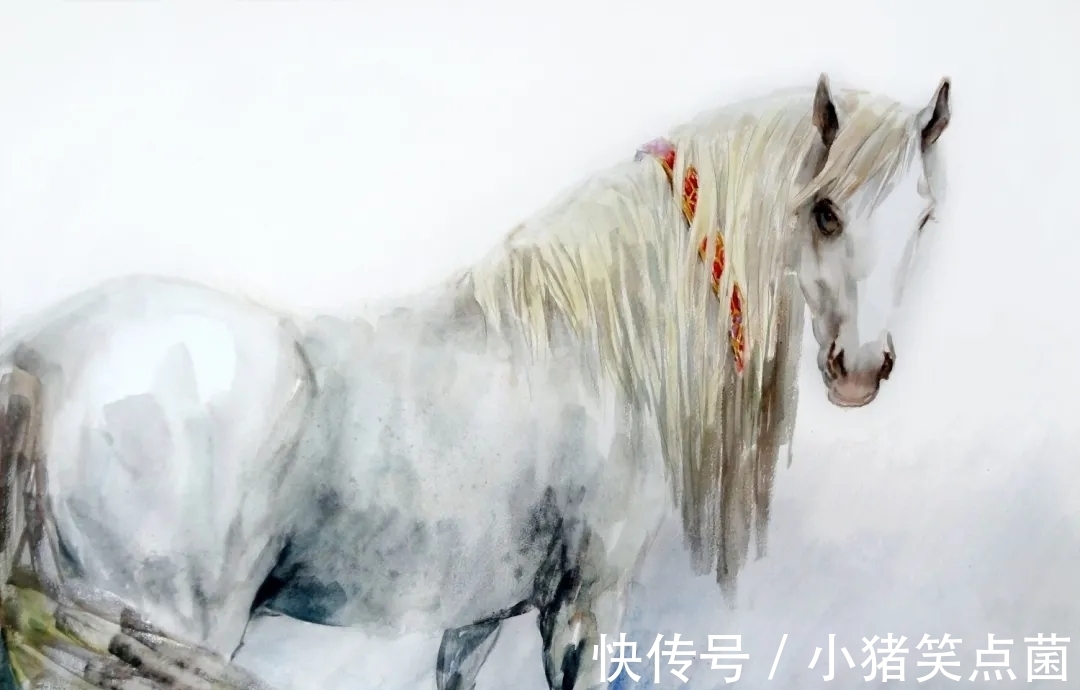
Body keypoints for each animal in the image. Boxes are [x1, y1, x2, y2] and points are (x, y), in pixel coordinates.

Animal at [0, 72, 951, 690]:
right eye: (823, 211)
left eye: (924, 217)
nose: (860, 370)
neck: (598, 342)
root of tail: (42, 356)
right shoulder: (585, 610)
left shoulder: (476, 616)